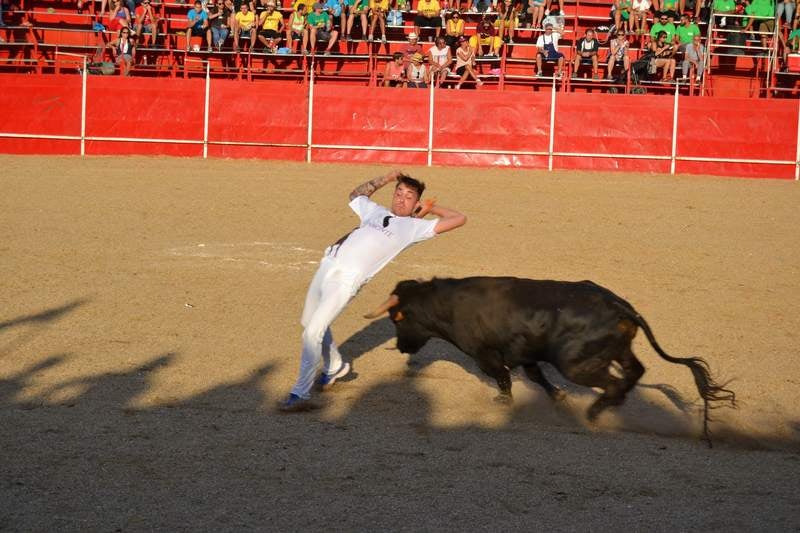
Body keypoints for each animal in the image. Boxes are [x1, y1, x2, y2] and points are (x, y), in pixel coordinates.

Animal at [366, 276, 736, 442]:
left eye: (397, 319)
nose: (401, 348)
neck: (447, 305)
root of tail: (621, 307)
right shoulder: (526, 354)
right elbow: (535, 377)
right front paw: (557, 398)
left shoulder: (486, 354)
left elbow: (502, 376)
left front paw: (504, 402)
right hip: (617, 351)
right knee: (634, 372)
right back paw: (608, 407)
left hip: (577, 364)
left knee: (613, 382)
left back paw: (594, 412)